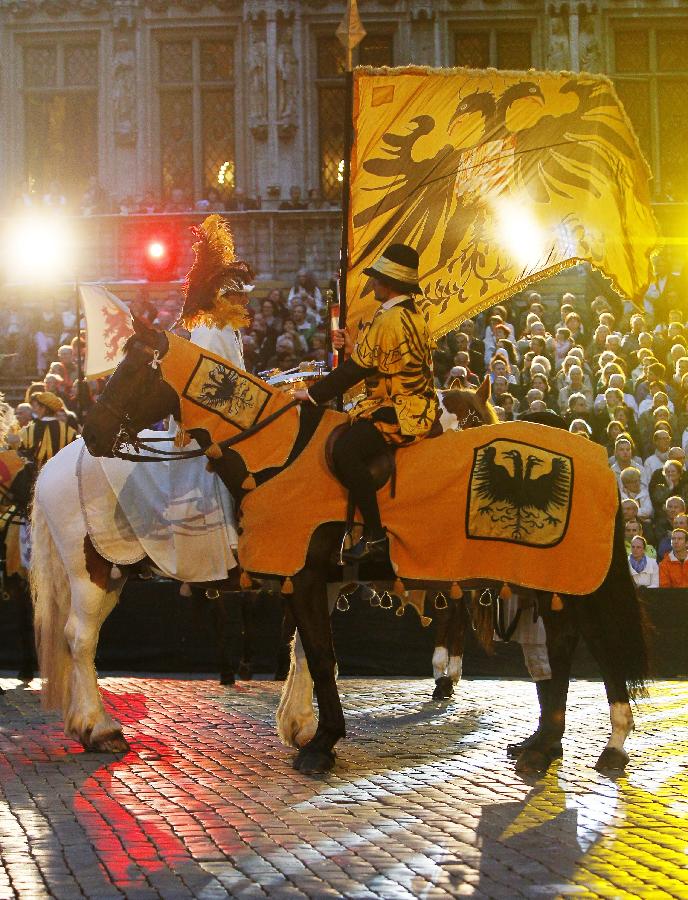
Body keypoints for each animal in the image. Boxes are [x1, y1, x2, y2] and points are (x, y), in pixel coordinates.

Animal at [82, 322, 652, 772]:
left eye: (134, 372)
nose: (90, 431)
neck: (278, 454)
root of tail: (599, 458)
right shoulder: (314, 583)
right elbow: (314, 655)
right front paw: (312, 731)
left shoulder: (308, 578)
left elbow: (320, 654)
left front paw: (321, 744)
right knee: (568, 645)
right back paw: (553, 744)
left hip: (563, 578)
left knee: (586, 644)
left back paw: (586, 745)